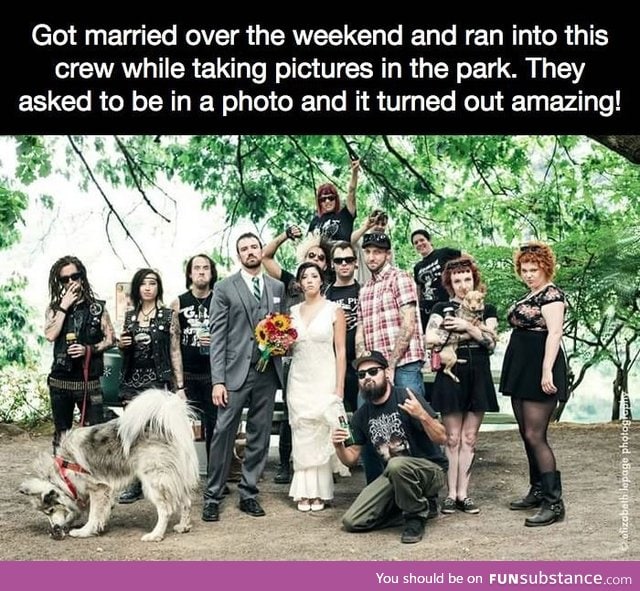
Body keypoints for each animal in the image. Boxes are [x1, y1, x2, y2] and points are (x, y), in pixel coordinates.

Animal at [20, 390, 199, 544]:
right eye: (46, 513)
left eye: (50, 510)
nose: (54, 529)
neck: (63, 470)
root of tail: (167, 422)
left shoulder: (98, 488)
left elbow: (93, 513)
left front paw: (84, 531)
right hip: (176, 477)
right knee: (186, 501)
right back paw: (183, 526)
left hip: (154, 480)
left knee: (166, 509)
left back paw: (155, 535)